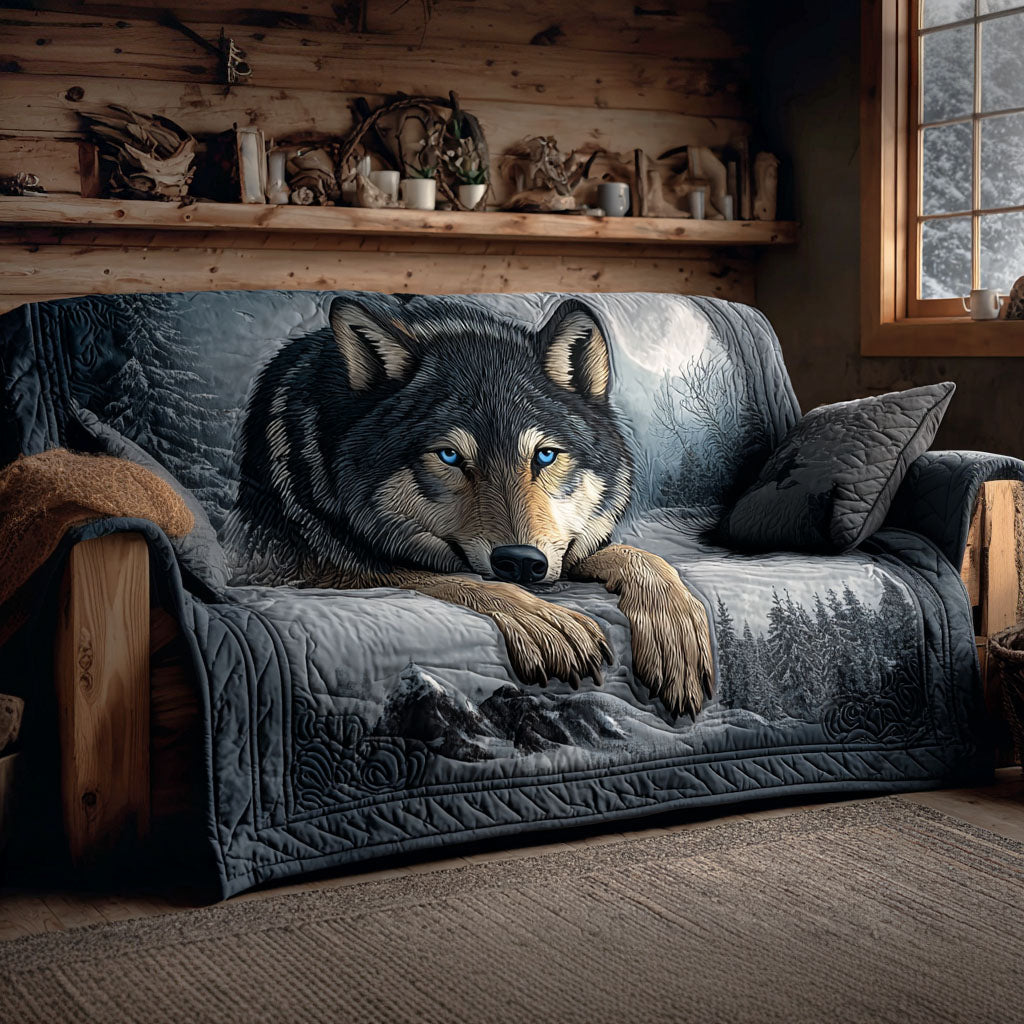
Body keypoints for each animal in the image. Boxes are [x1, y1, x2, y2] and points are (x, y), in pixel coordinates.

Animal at [226, 295, 713, 718]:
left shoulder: (563, 551)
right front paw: (547, 623)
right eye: (449, 456)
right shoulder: (325, 566)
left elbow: (642, 558)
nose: (521, 562)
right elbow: (454, 580)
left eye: (544, 455)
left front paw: (675, 633)